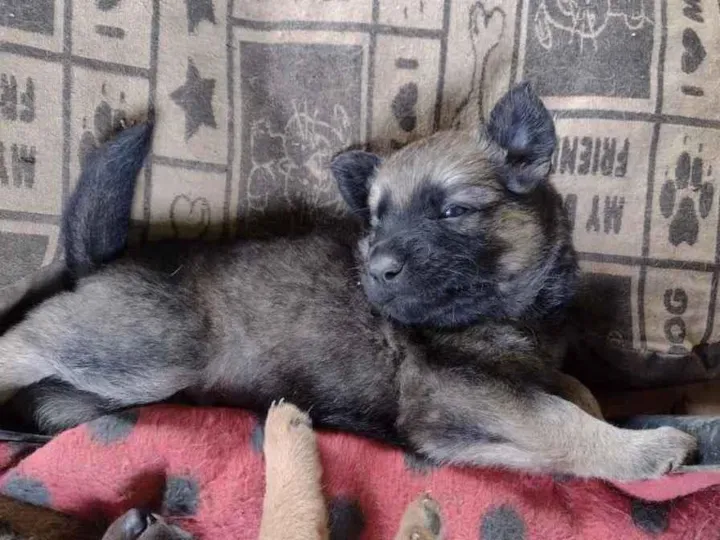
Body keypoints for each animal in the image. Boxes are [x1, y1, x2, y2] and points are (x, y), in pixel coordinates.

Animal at [0, 83, 696, 481]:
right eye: (376, 219)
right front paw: (642, 451)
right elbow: (559, 417)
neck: (505, 308)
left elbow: (575, 392)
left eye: (452, 211)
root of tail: (104, 260)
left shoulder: (489, 393)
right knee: (25, 341)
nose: (376, 270)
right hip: (146, 353)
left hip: (114, 388)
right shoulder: (462, 387)